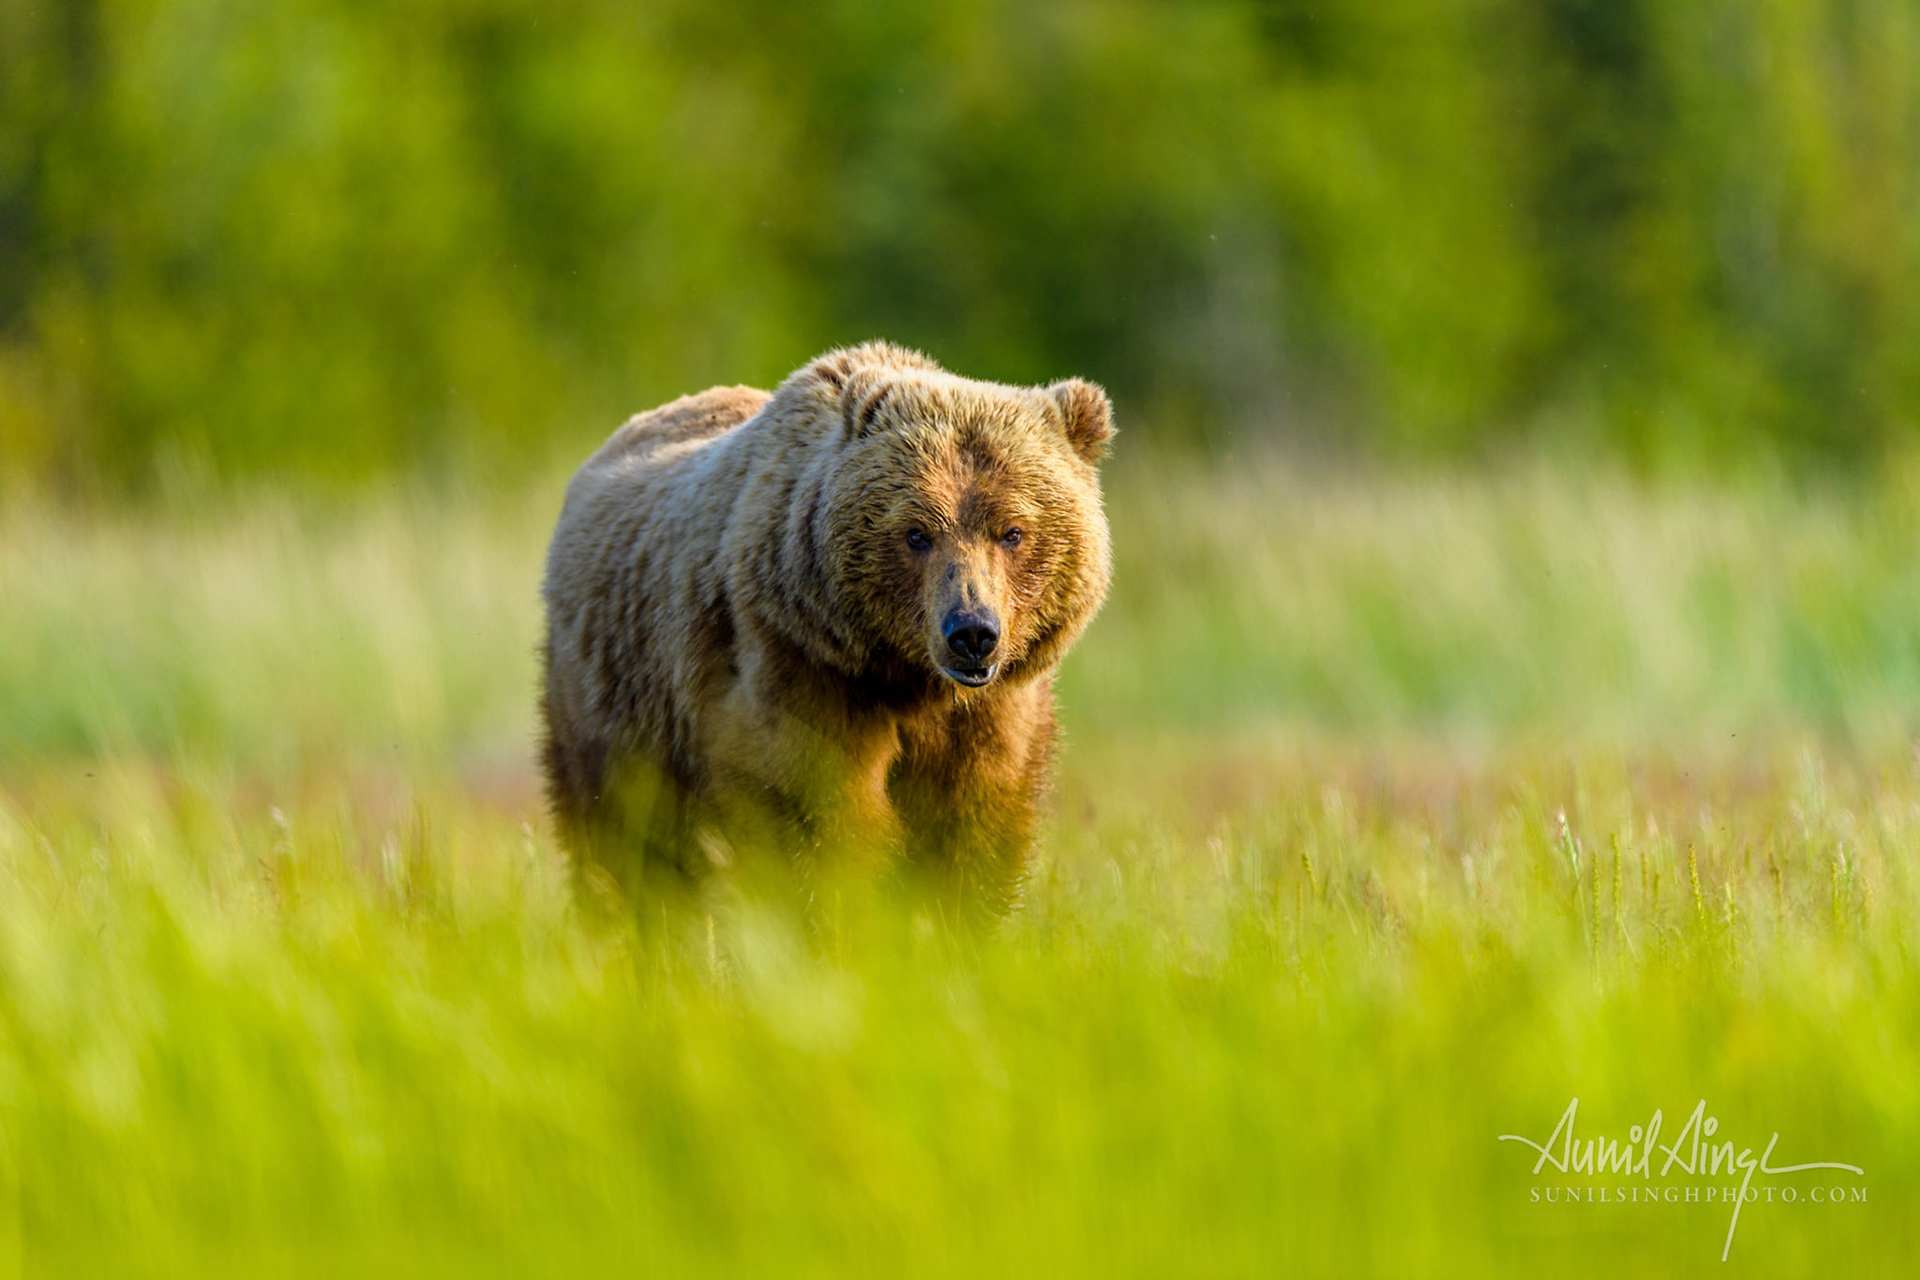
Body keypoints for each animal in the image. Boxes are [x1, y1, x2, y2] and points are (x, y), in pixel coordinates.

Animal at [539, 341, 1112, 915]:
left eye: (1012, 531)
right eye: (916, 532)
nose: (971, 631)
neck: (909, 679)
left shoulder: (991, 716)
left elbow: (971, 831)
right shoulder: (804, 666)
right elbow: (815, 816)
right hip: (616, 708)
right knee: (625, 850)